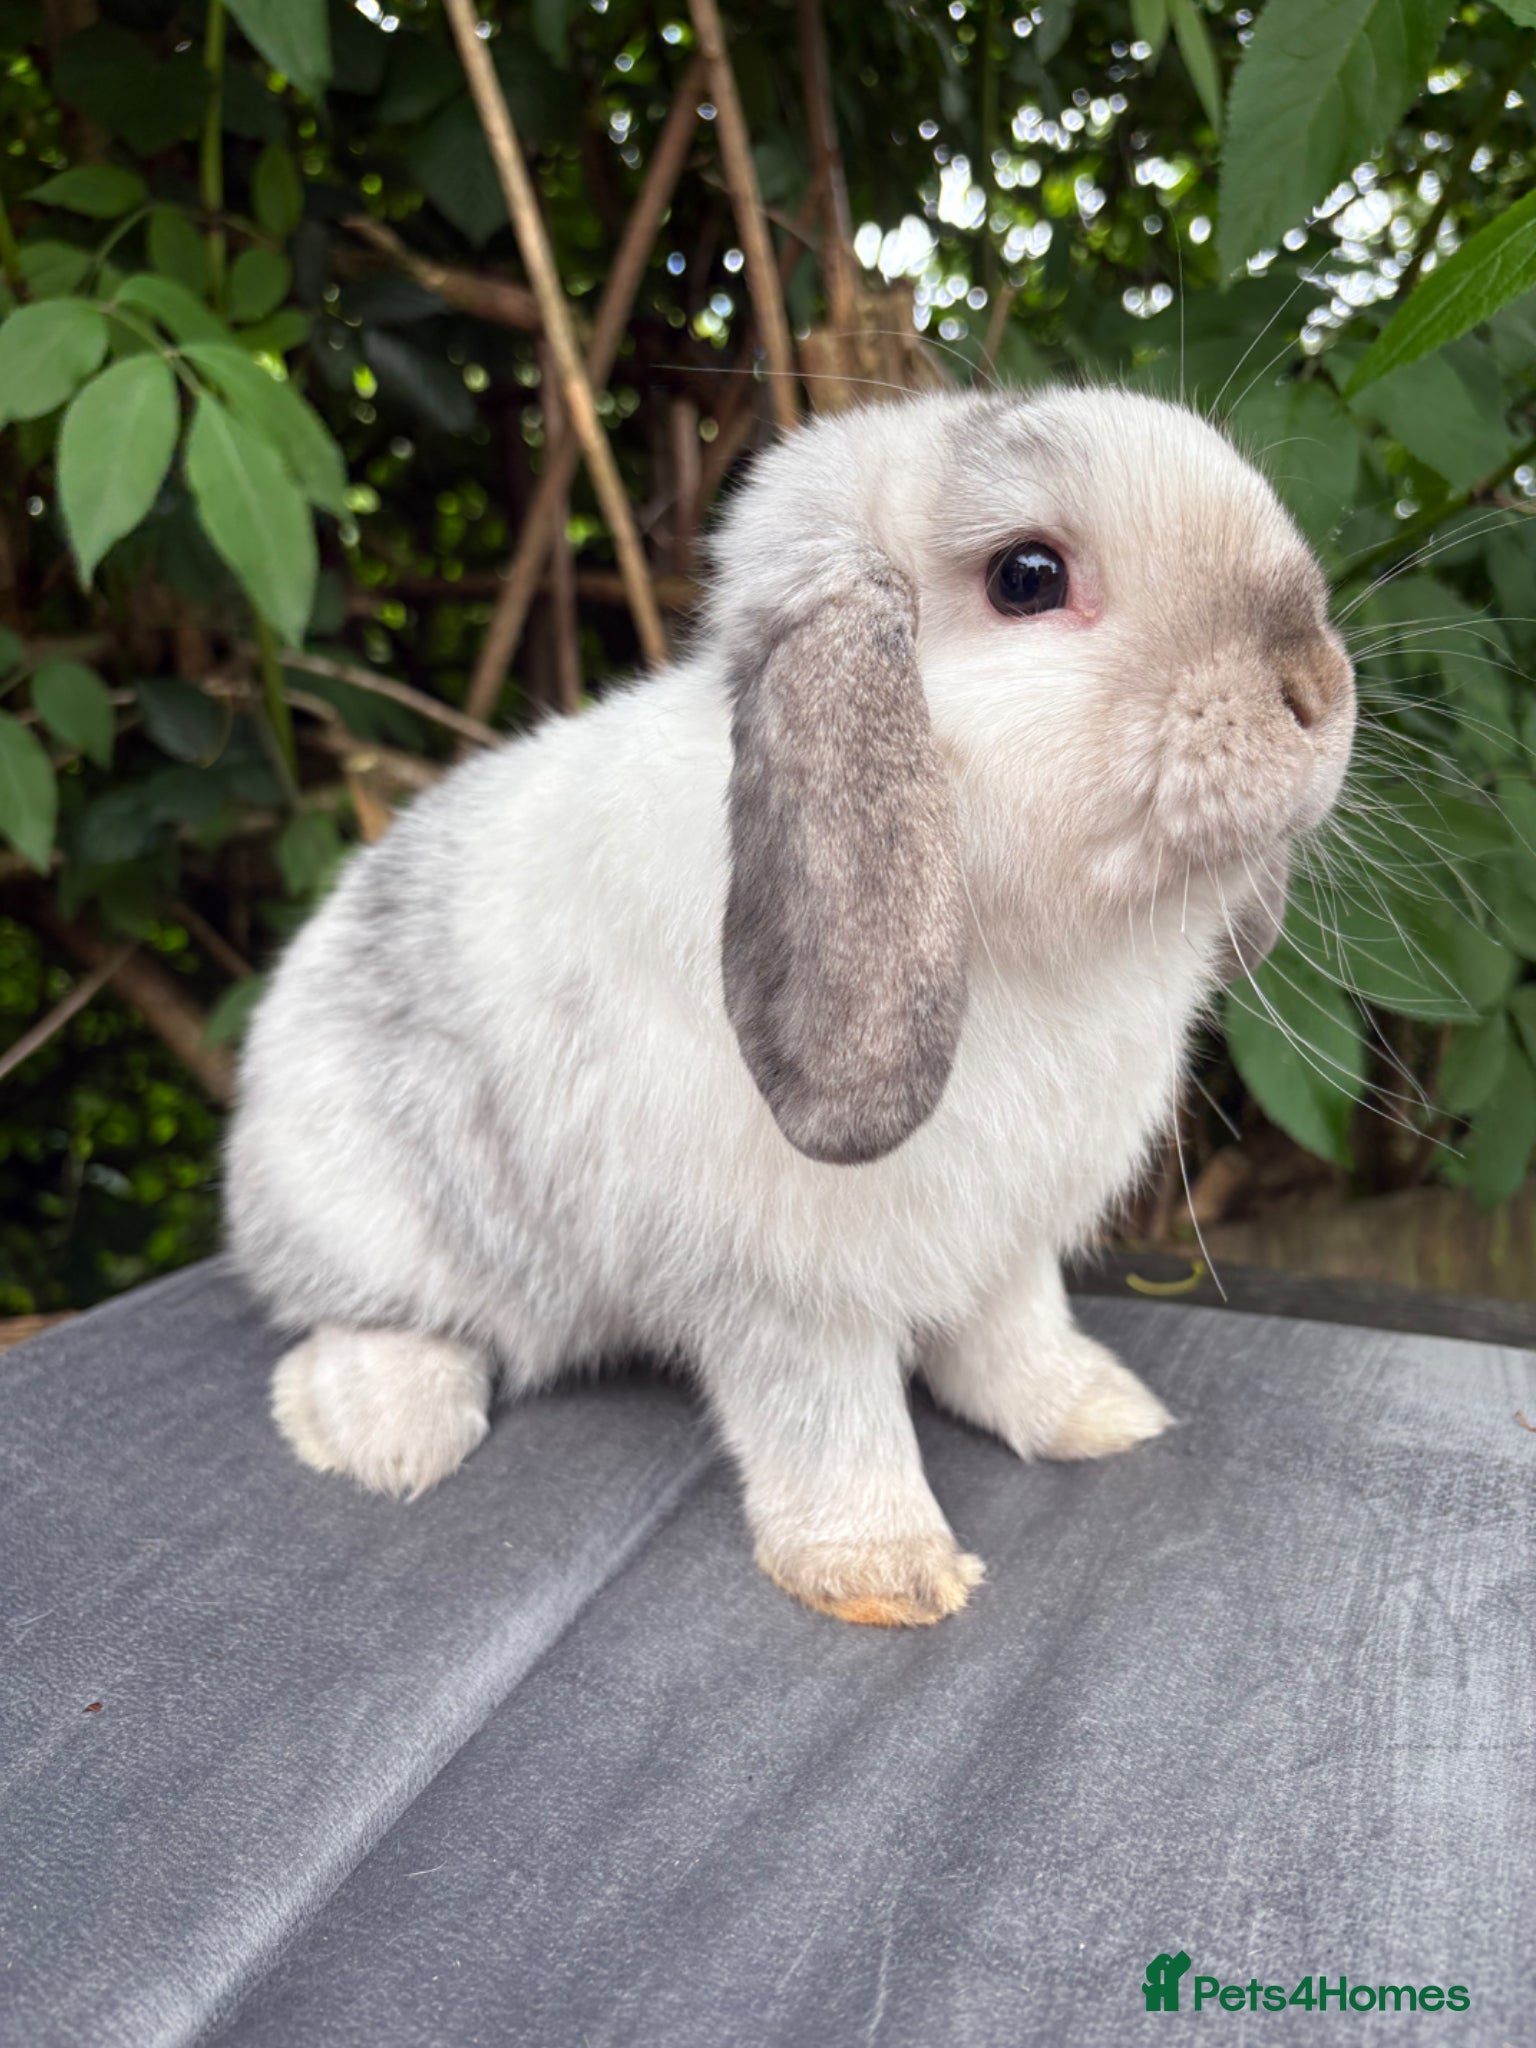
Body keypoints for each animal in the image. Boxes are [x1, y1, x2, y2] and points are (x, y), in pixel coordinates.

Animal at [227, 386, 1355, 1627]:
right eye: (1028, 577)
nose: (1318, 686)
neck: (1032, 941)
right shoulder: (784, 1294)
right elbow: (829, 1424)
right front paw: (885, 1576)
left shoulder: (1006, 1242)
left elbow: (1014, 1337)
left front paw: (1098, 1415)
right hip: (365, 1216)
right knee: (359, 1319)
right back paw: (385, 1434)